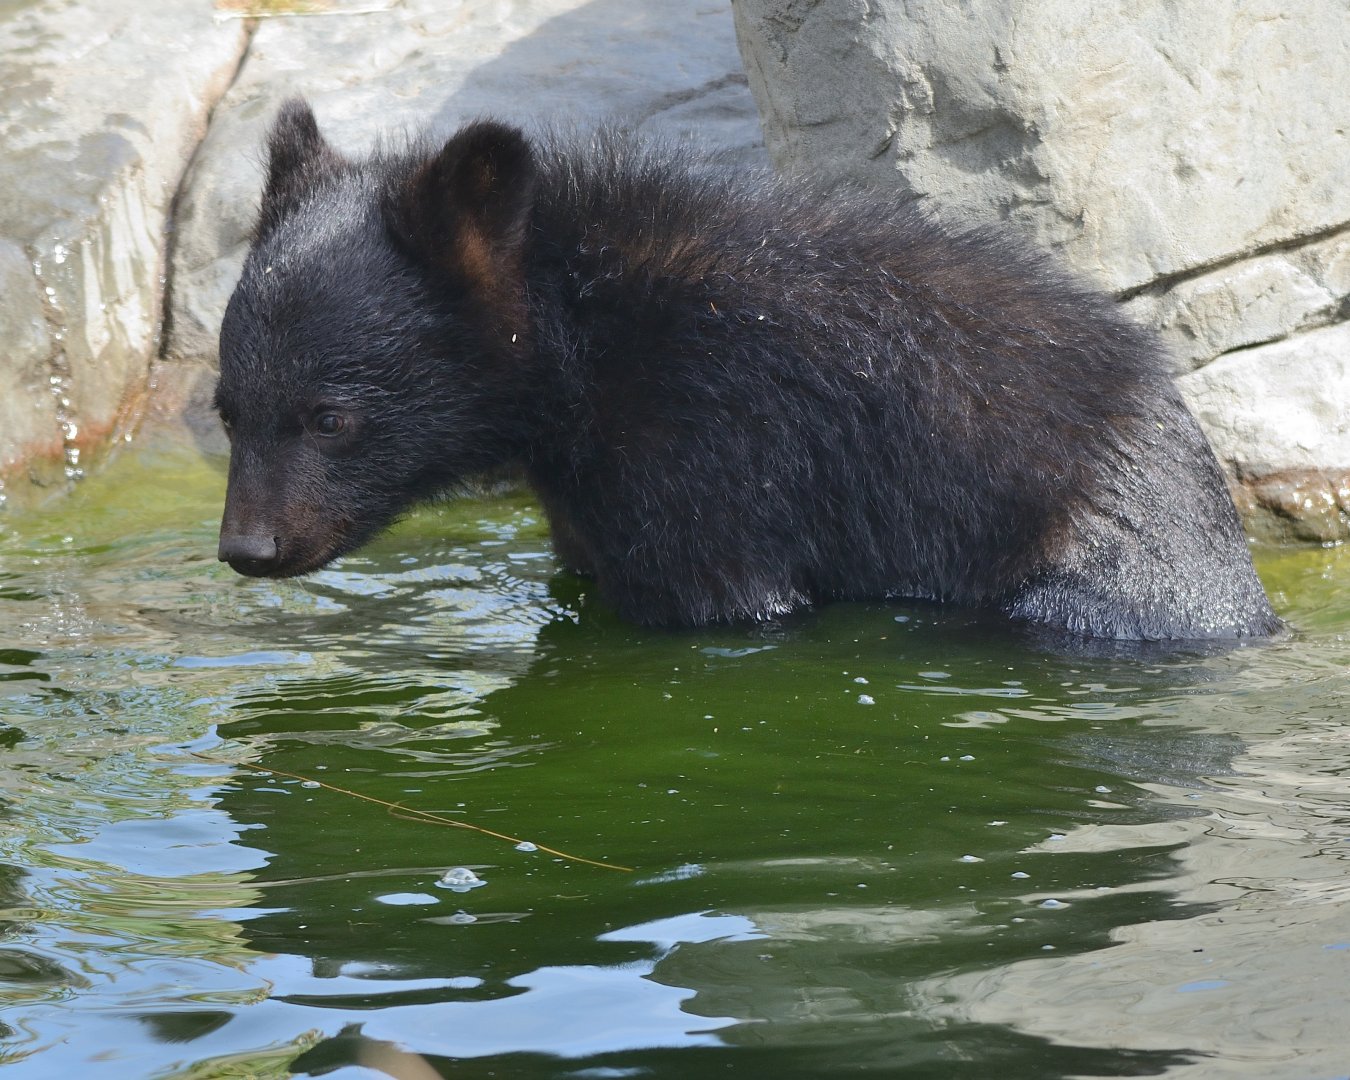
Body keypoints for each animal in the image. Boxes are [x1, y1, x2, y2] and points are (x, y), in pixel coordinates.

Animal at [214, 98, 1280, 641]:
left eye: (329, 417)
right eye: (228, 410)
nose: (248, 549)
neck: (573, 356)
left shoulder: (707, 451)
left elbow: (721, 594)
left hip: (1105, 573)